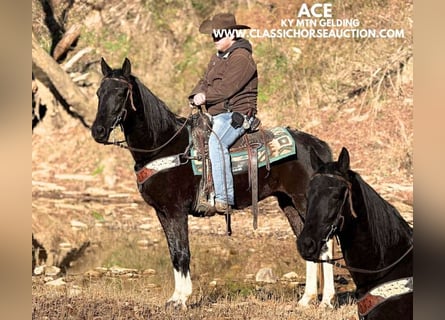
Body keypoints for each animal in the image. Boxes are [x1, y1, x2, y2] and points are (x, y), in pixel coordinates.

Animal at [91, 58, 332, 310]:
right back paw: (306, 299)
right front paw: (174, 298)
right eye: (99, 92)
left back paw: (326, 301)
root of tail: (316, 145)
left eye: (120, 93)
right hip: (289, 204)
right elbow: (173, 253)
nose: (98, 131)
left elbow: (182, 252)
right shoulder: (162, 212)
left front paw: (181, 299)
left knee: (325, 245)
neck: (163, 145)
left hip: (304, 201)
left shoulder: (176, 211)